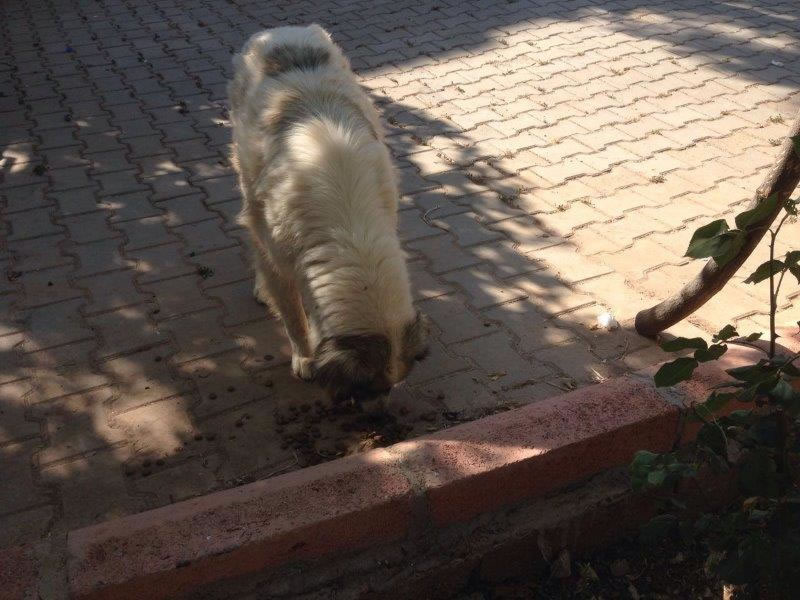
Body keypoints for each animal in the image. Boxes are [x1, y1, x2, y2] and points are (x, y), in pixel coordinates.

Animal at [228, 25, 428, 406]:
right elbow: (293, 315)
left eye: (389, 386)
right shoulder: (280, 260)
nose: (378, 411)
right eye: (368, 386)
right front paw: (305, 358)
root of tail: (280, 30)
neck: (351, 235)